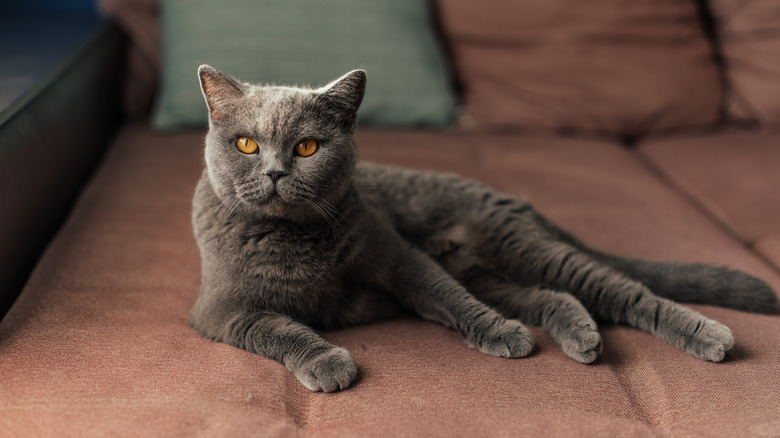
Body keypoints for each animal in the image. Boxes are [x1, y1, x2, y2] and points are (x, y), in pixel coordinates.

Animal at [190, 65, 780, 394]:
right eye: (247, 144)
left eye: (308, 147)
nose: (274, 172)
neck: (296, 239)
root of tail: (514, 200)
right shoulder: (220, 311)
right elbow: (278, 329)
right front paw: (329, 363)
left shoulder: (399, 256)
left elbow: (445, 295)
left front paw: (497, 333)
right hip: (493, 272)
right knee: (554, 295)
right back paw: (582, 337)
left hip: (520, 247)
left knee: (622, 289)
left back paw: (710, 335)